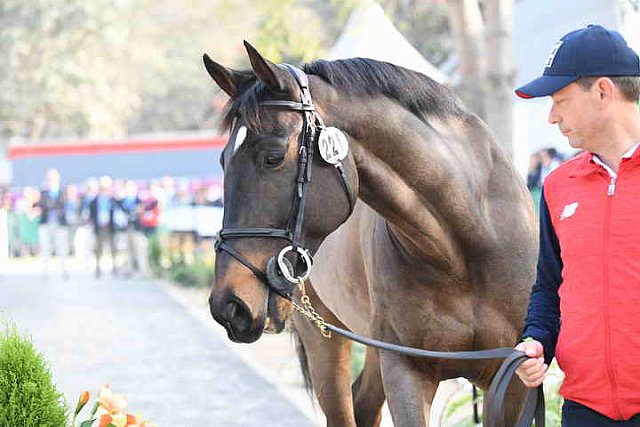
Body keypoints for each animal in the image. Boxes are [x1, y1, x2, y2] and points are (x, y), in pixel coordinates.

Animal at [204, 41, 536, 427]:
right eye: (223, 161)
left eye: (272, 157)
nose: (230, 304)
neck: (463, 247)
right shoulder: (406, 371)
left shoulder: (513, 377)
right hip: (326, 341)